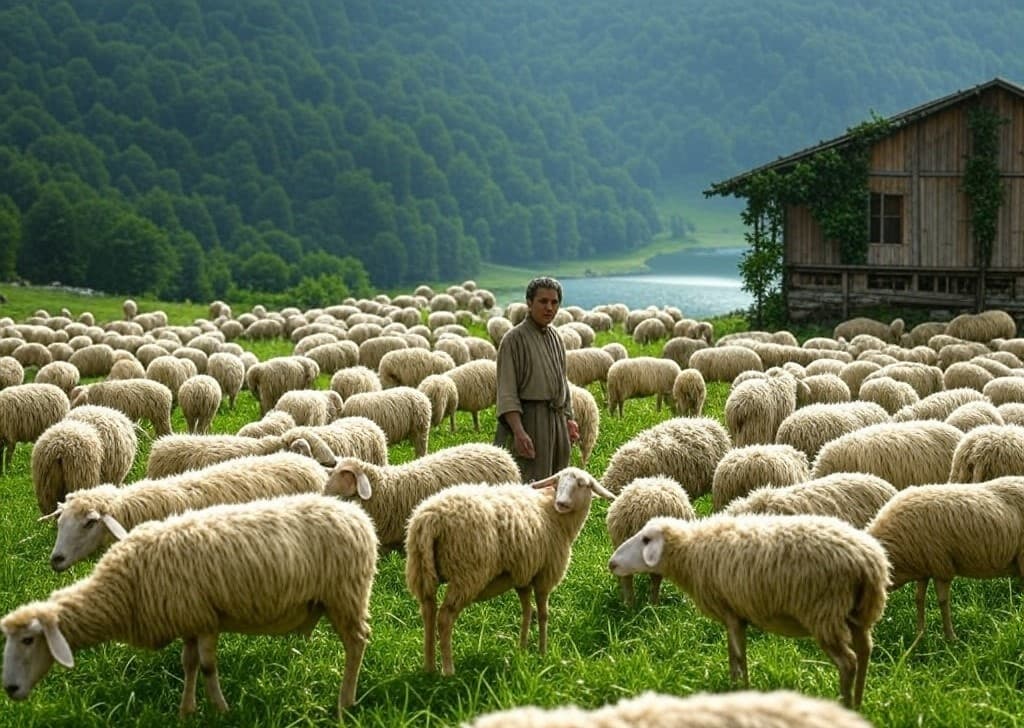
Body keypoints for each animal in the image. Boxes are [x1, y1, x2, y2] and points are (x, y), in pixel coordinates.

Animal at [2, 494, 376, 717]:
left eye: (28, 640)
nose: (10, 689)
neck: (125, 586)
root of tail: (358, 514)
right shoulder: (189, 618)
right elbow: (189, 664)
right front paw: (187, 710)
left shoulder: (206, 619)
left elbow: (208, 666)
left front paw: (221, 709)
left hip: (346, 595)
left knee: (357, 644)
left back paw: (346, 703)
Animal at [405, 467, 614, 675]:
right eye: (558, 482)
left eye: (581, 484)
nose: (561, 503)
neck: (553, 513)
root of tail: (431, 518)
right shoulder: (545, 575)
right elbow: (543, 614)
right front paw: (543, 653)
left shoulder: (523, 577)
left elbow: (527, 612)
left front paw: (522, 650)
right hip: (467, 573)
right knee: (445, 617)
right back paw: (448, 670)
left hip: (421, 569)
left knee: (428, 612)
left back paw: (429, 667)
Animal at [608, 514, 890, 708]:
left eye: (645, 540)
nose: (612, 563)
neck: (691, 551)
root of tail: (868, 562)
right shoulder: (736, 614)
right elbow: (736, 656)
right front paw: (741, 690)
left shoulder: (730, 612)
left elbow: (737, 659)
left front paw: (738, 691)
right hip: (861, 613)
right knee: (865, 652)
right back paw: (859, 703)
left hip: (823, 612)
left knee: (848, 662)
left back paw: (845, 705)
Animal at [866, 478, 1024, 640]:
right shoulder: (924, 568)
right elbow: (918, 599)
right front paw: (919, 635)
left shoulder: (941, 566)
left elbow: (942, 601)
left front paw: (950, 637)